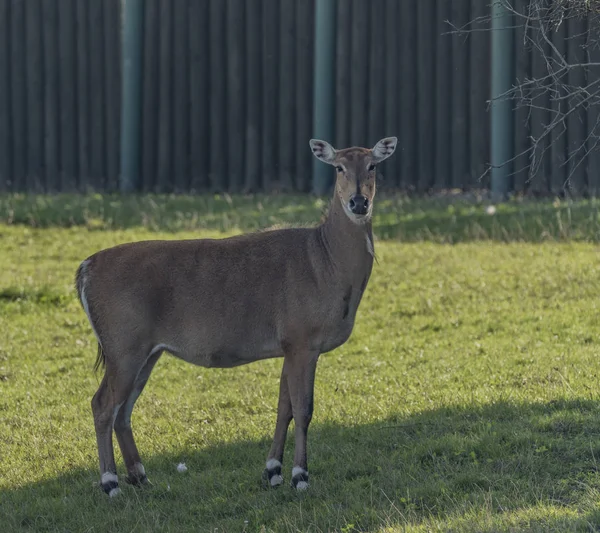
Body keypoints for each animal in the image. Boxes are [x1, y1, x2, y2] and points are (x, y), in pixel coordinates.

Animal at [76, 136, 398, 494]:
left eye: (373, 165)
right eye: (339, 167)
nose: (359, 202)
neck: (327, 263)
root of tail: (84, 271)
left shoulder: (287, 344)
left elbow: (283, 408)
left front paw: (272, 472)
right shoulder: (303, 337)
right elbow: (303, 409)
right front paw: (300, 476)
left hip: (146, 351)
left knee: (123, 410)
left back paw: (141, 477)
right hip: (123, 344)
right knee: (102, 404)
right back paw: (110, 483)